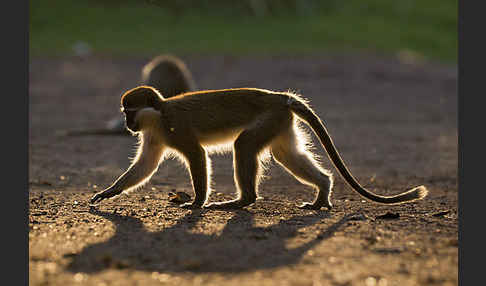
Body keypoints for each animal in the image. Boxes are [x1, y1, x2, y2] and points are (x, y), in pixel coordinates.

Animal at [89, 86, 428, 209]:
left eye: (129, 111)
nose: (128, 125)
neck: (158, 115)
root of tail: (280, 97)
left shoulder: (175, 127)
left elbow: (197, 155)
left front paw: (196, 202)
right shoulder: (154, 135)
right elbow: (145, 166)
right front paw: (109, 192)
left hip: (270, 117)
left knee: (244, 145)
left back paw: (243, 200)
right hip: (280, 123)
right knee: (285, 153)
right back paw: (322, 190)